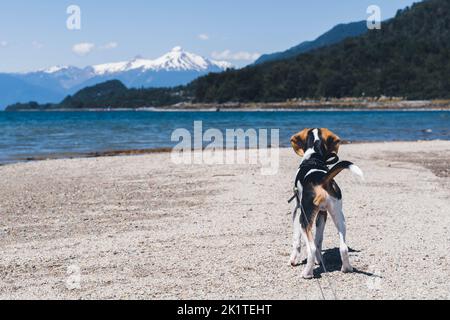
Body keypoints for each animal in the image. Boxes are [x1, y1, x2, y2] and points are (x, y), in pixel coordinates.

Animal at [290, 129, 364, 278]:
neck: (313, 157)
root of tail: (322, 179)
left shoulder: (297, 209)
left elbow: (297, 241)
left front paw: (293, 260)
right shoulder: (322, 214)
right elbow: (319, 240)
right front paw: (320, 261)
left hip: (304, 220)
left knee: (311, 248)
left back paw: (307, 273)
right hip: (339, 217)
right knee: (343, 247)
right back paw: (347, 268)